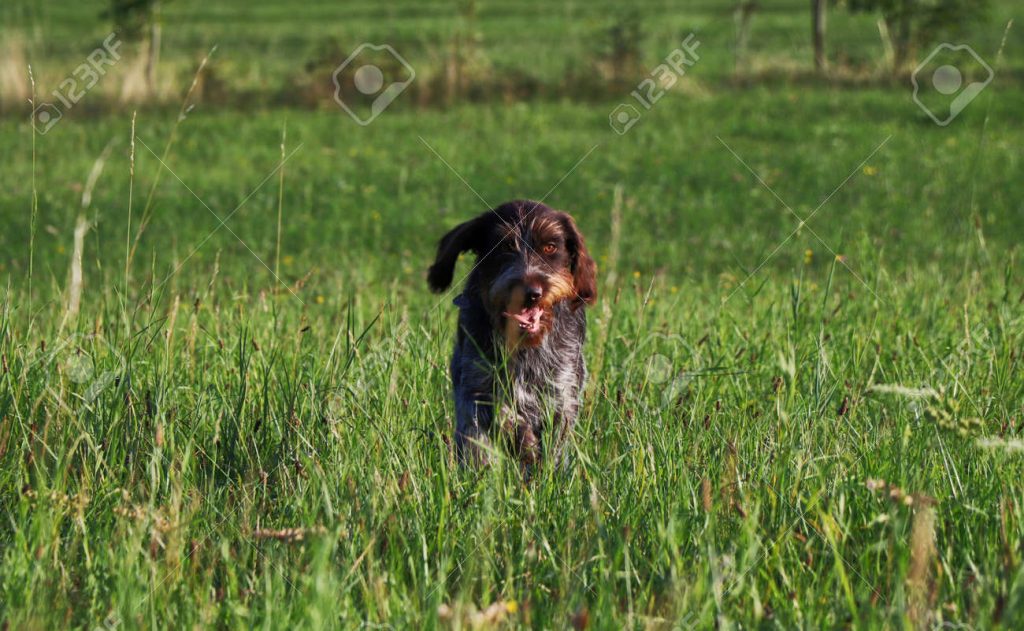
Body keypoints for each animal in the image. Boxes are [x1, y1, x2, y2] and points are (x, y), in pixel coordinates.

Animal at [425, 199, 598, 471]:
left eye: (550, 247)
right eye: (504, 247)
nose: (532, 292)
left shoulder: (563, 391)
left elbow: (557, 434)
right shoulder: (476, 388)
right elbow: (502, 415)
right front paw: (523, 442)